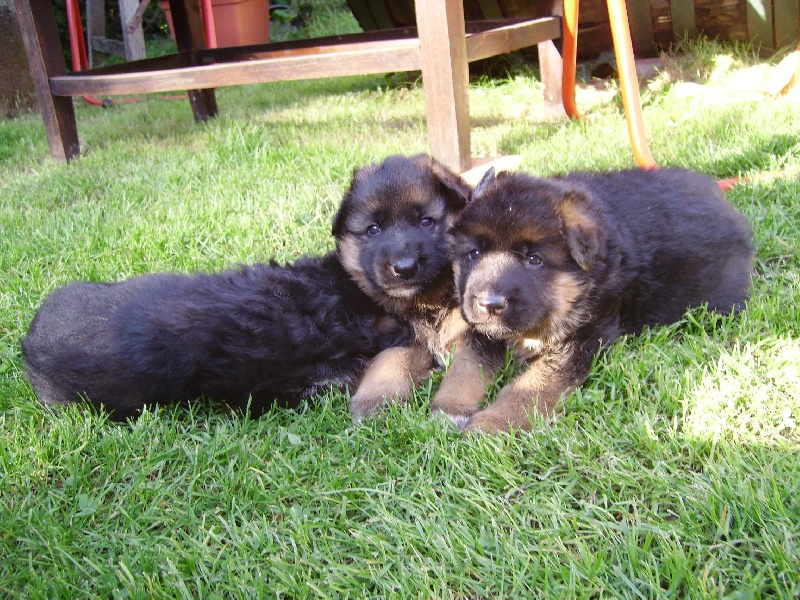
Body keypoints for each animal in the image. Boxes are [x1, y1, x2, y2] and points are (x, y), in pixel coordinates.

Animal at [332, 154, 506, 418]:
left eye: (426, 222)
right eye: (373, 229)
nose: (405, 268)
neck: (432, 302)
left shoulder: (482, 334)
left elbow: (466, 368)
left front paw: (451, 407)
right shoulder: (406, 332)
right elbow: (391, 358)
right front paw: (374, 398)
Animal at [444, 166, 756, 434]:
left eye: (534, 259)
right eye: (474, 253)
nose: (490, 304)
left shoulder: (584, 336)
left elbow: (533, 384)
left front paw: (494, 422)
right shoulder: (482, 329)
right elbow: (467, 364)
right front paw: (451, 407)